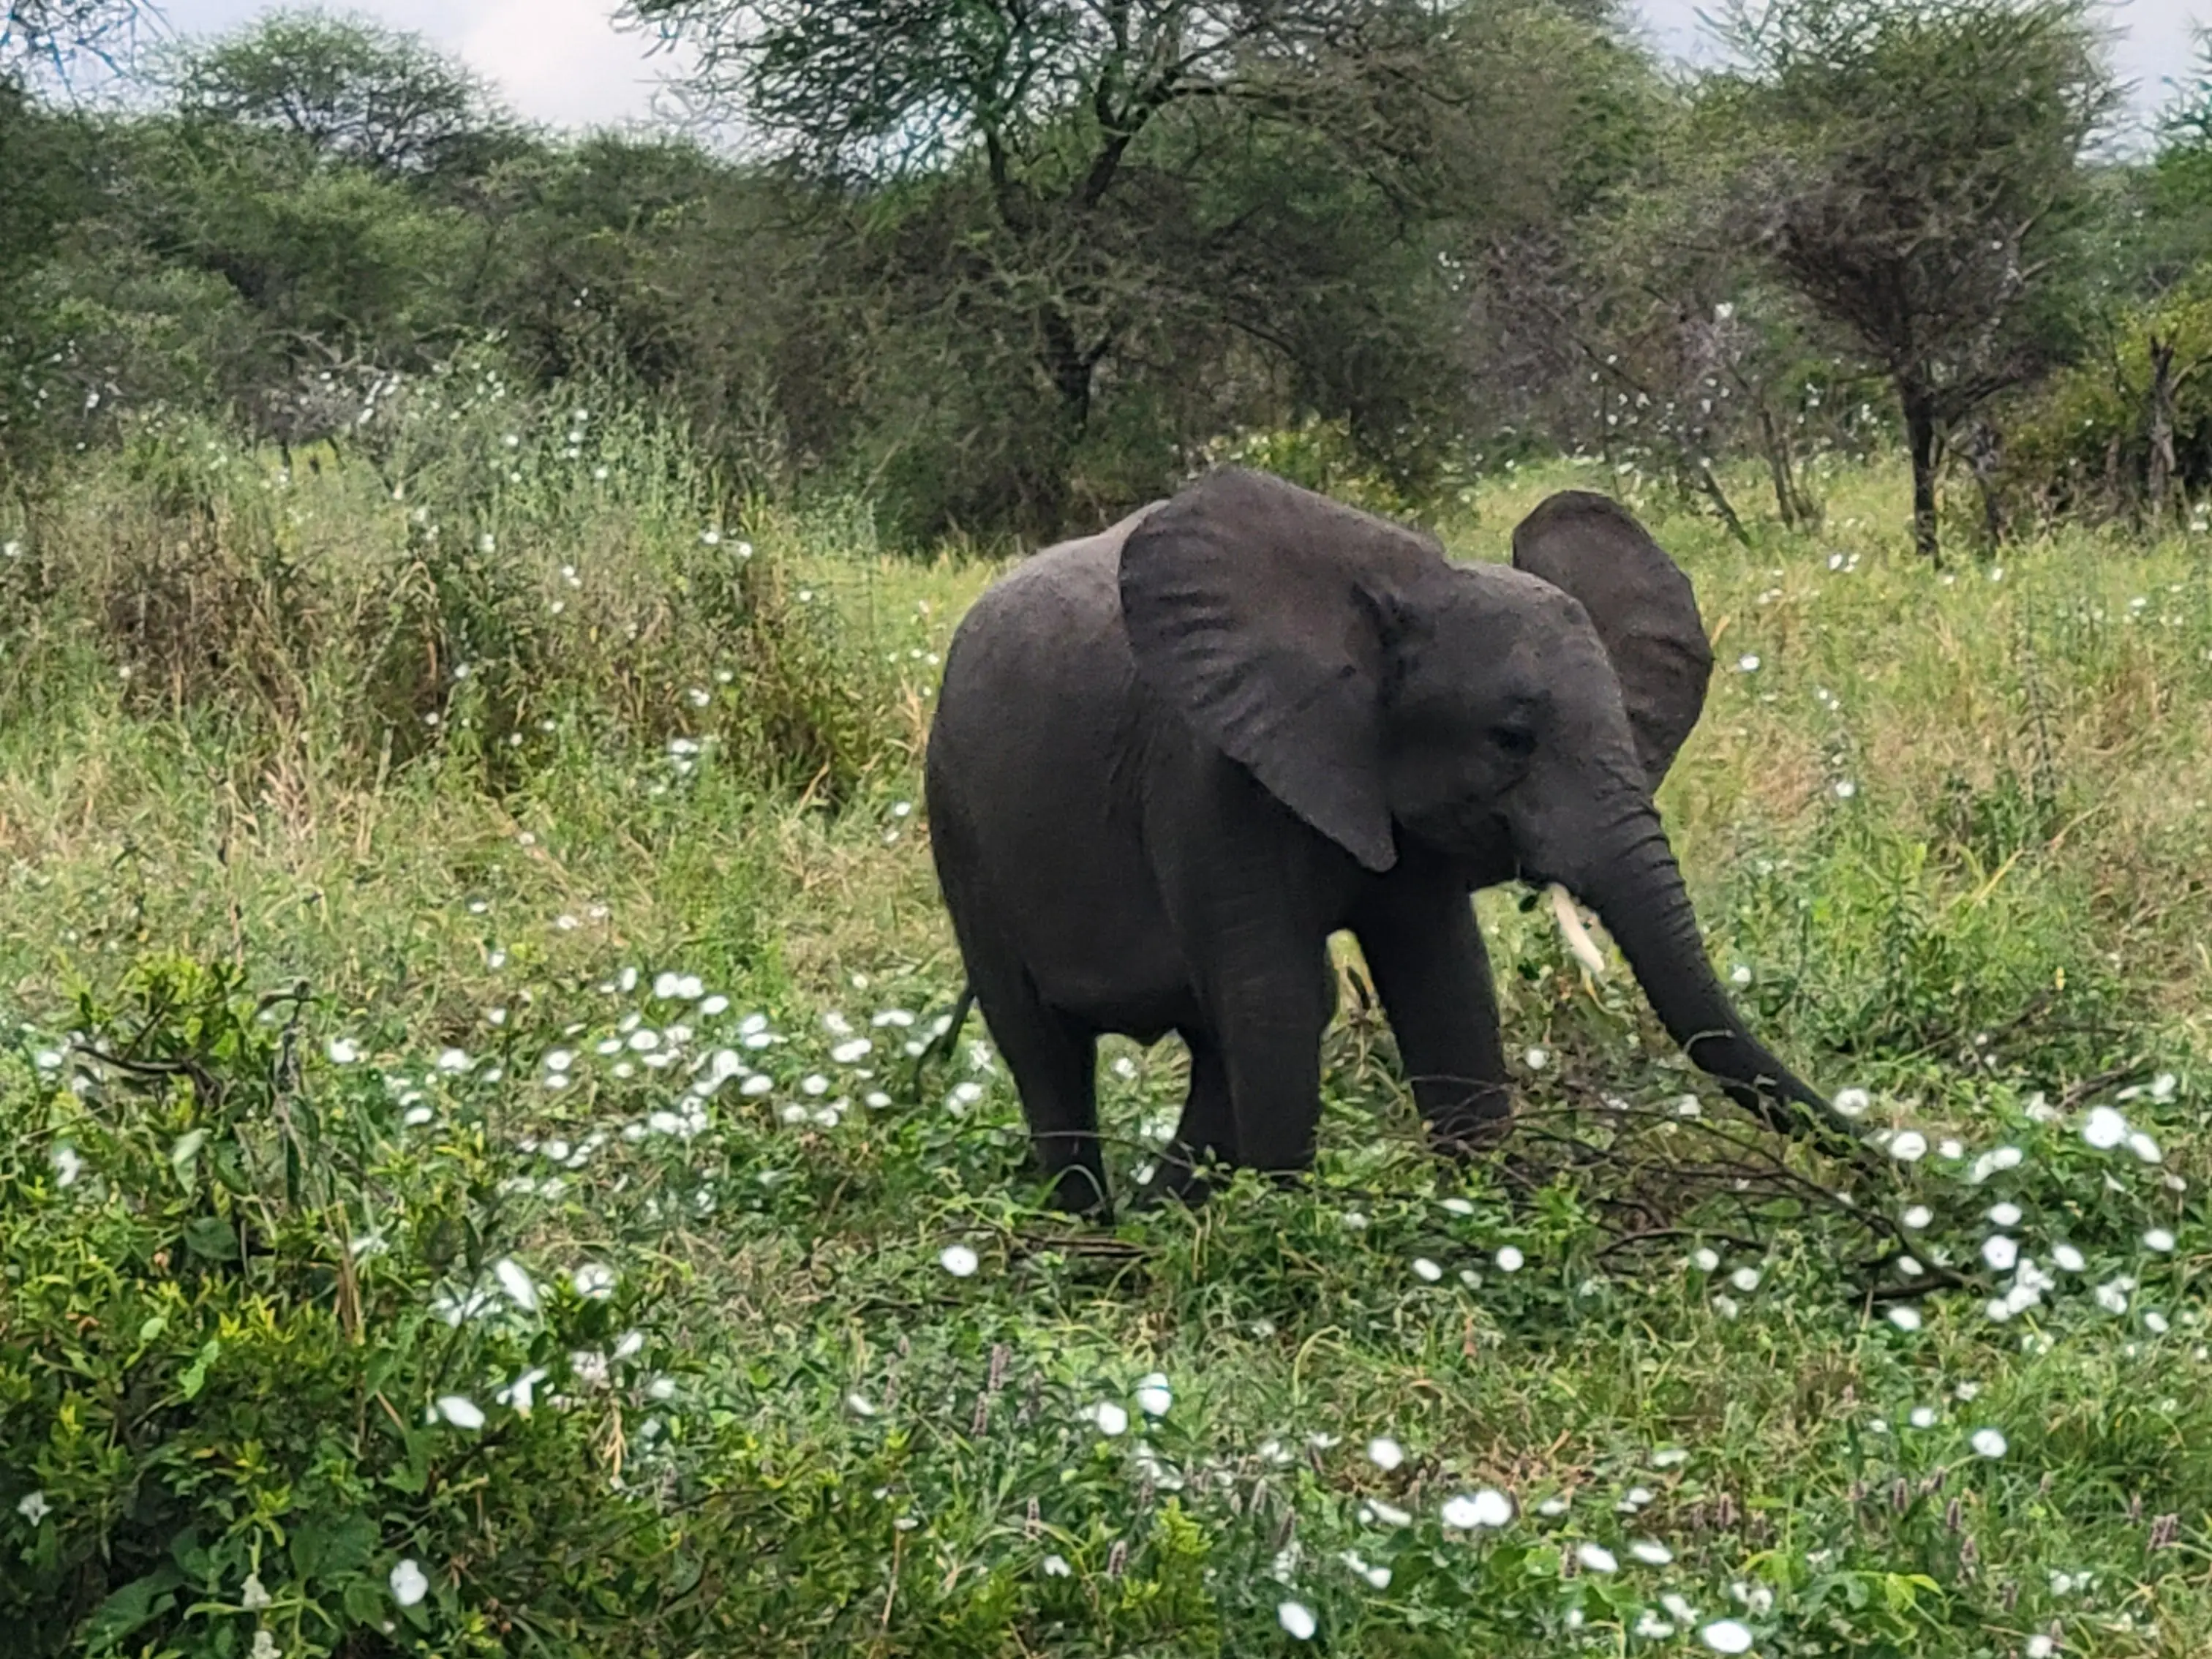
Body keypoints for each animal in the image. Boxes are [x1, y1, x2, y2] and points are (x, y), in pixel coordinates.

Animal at [923, 466, 1852, 1214]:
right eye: (1511, 739)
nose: (1879, 1173)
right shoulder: (1205, 773)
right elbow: (1280, 1001)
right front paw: (1282, 1244)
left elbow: (1447, 994)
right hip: (958, 823)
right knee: (1045, 1049)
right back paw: (1093, 1240)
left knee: (1204, 1042)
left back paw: (1156, 1224)